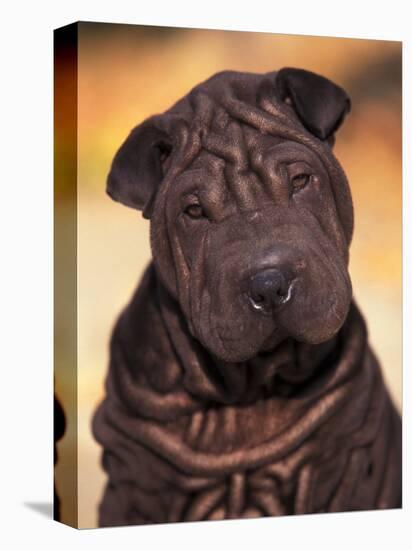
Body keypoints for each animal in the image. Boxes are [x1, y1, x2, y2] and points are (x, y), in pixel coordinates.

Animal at [91, 67, 400, 528]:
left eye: (300, 181)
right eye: (194, 211)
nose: (269, 285)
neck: (249, 392)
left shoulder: (346, 460)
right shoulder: (133, 480)